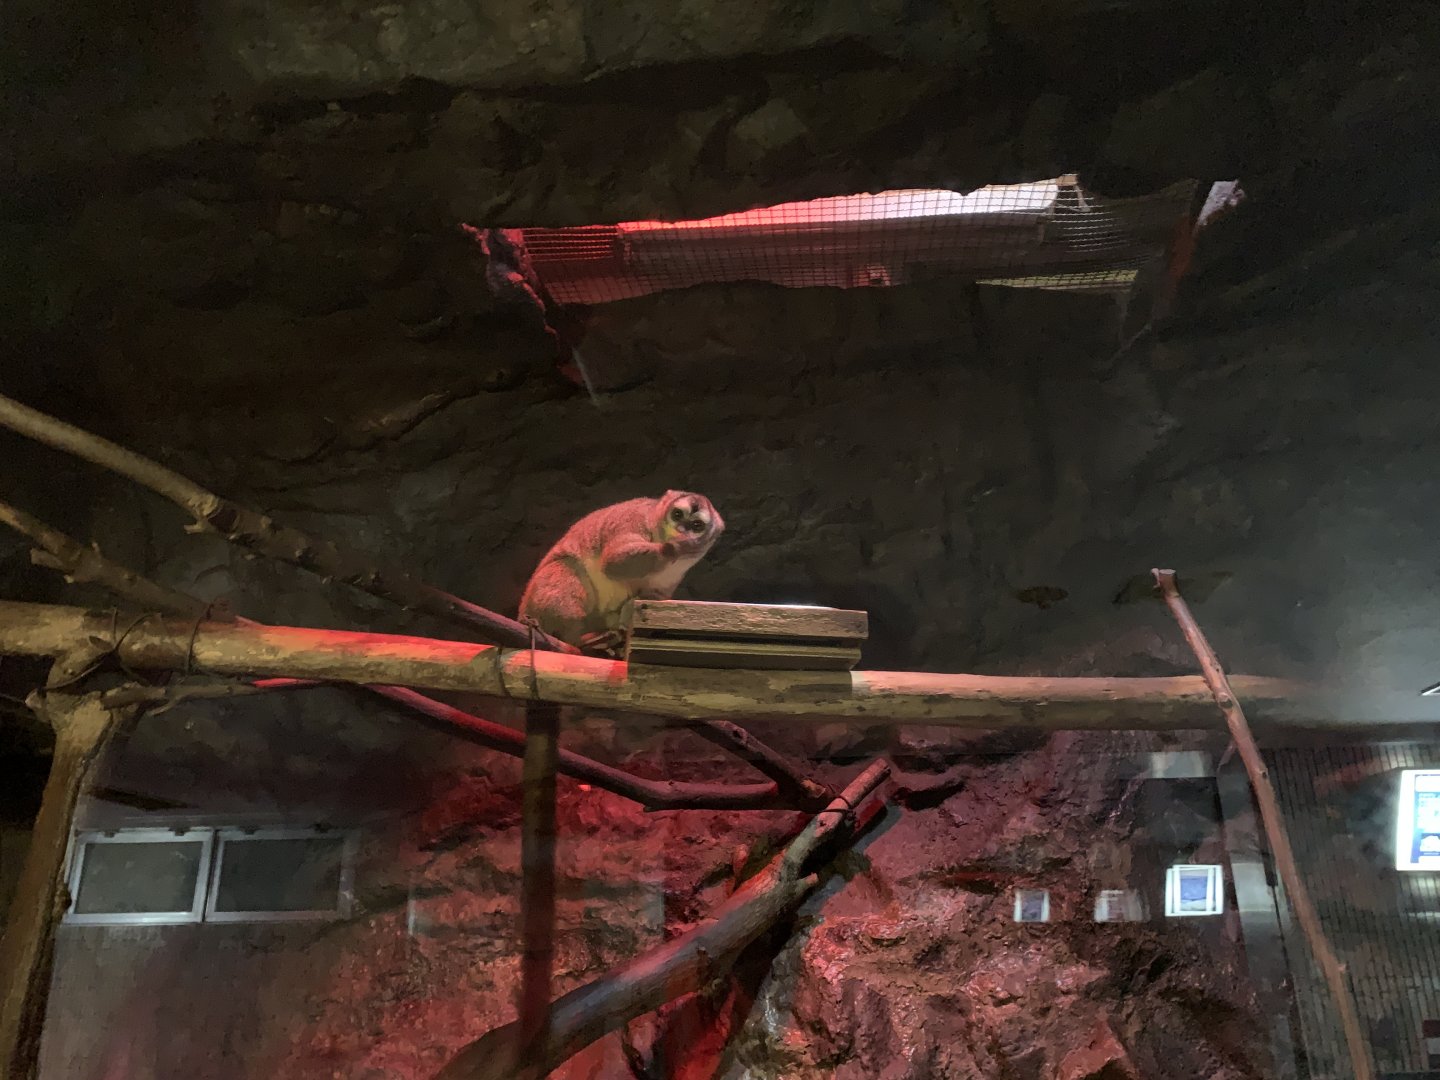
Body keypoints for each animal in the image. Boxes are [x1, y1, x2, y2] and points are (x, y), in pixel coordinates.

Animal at [519, 491, 724, 654]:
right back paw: (580, 639)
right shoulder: (634, 518)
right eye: (677, 514)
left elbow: (654, 595)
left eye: (697, 525)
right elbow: (613, 561)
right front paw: (676, 547)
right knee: (568, 568)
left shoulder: (679, 568)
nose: (681, 529)